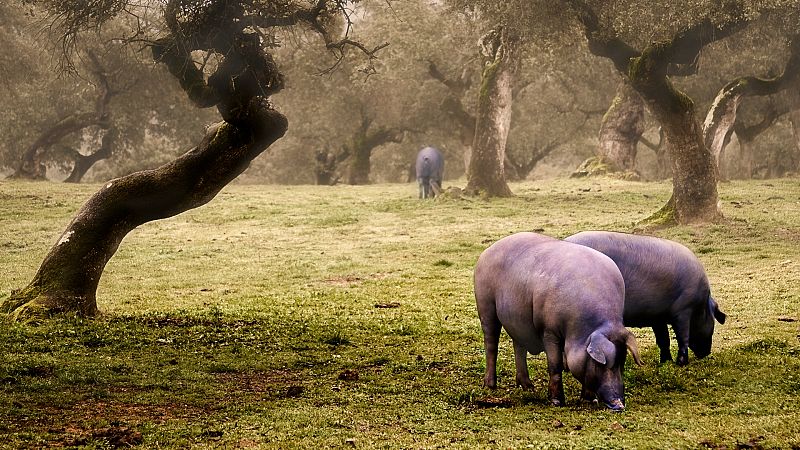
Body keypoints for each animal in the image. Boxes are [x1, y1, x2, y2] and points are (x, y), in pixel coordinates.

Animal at [476, 232, 644, 412]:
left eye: (622, 362)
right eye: (601, 364)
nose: (619, 405)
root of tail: (488, 251)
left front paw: (590, 400)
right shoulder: (549, 331)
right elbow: (555, 364)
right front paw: (556, 402)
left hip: (517, 320)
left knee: (518, 347)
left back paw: (529, 387)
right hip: (486, 306)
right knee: (491, 344)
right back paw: (490, 386)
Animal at [564, 232, 728, 366]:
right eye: (713, 322)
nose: (707, 353)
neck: (702, 304)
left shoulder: (658, 317)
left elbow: (663, 340)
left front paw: (666, 363)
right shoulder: (683, 311)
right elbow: (683, 337)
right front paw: (681, 363)